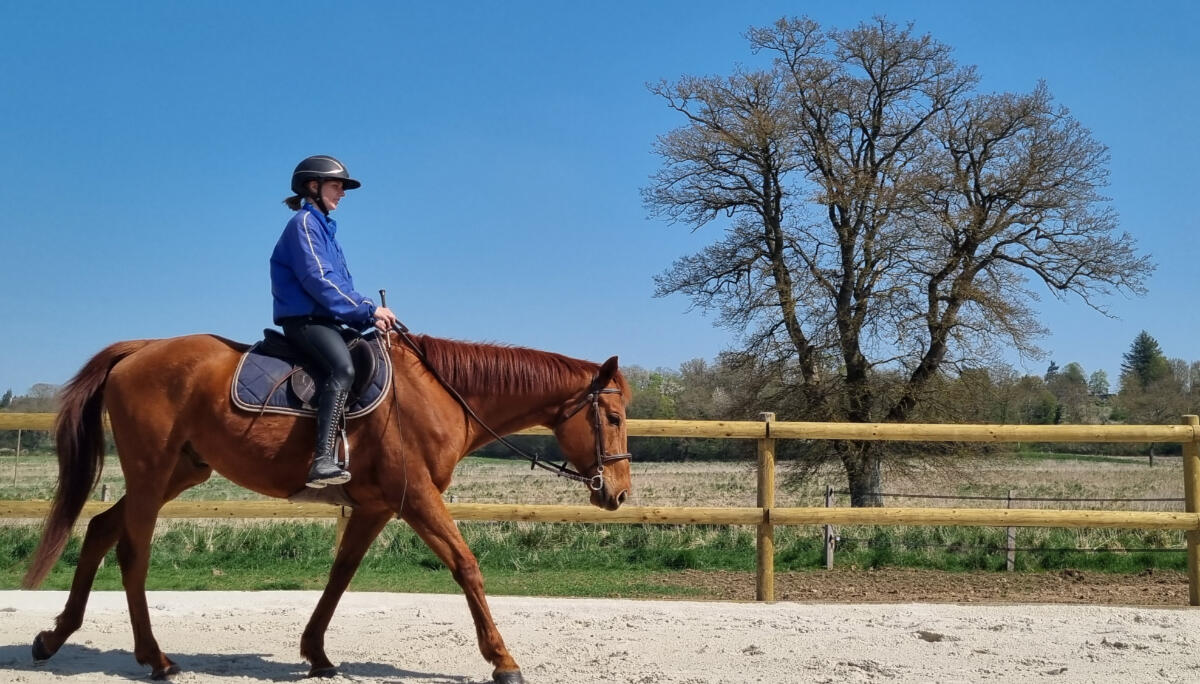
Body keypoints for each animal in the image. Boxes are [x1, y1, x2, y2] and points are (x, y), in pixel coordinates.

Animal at [21, 331, 633, 683]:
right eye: (615, 417)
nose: (620, 493)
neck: (439, 394)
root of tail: (141, 350)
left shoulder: (376, 507)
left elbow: (341, 574)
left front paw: (316, 652)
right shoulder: (417, 499)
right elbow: (466, 565)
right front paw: (503, 660)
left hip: (181, 471)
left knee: (101, 529)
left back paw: (54, 637)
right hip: (153, 473)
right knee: (133, 553)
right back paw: (156, 658)